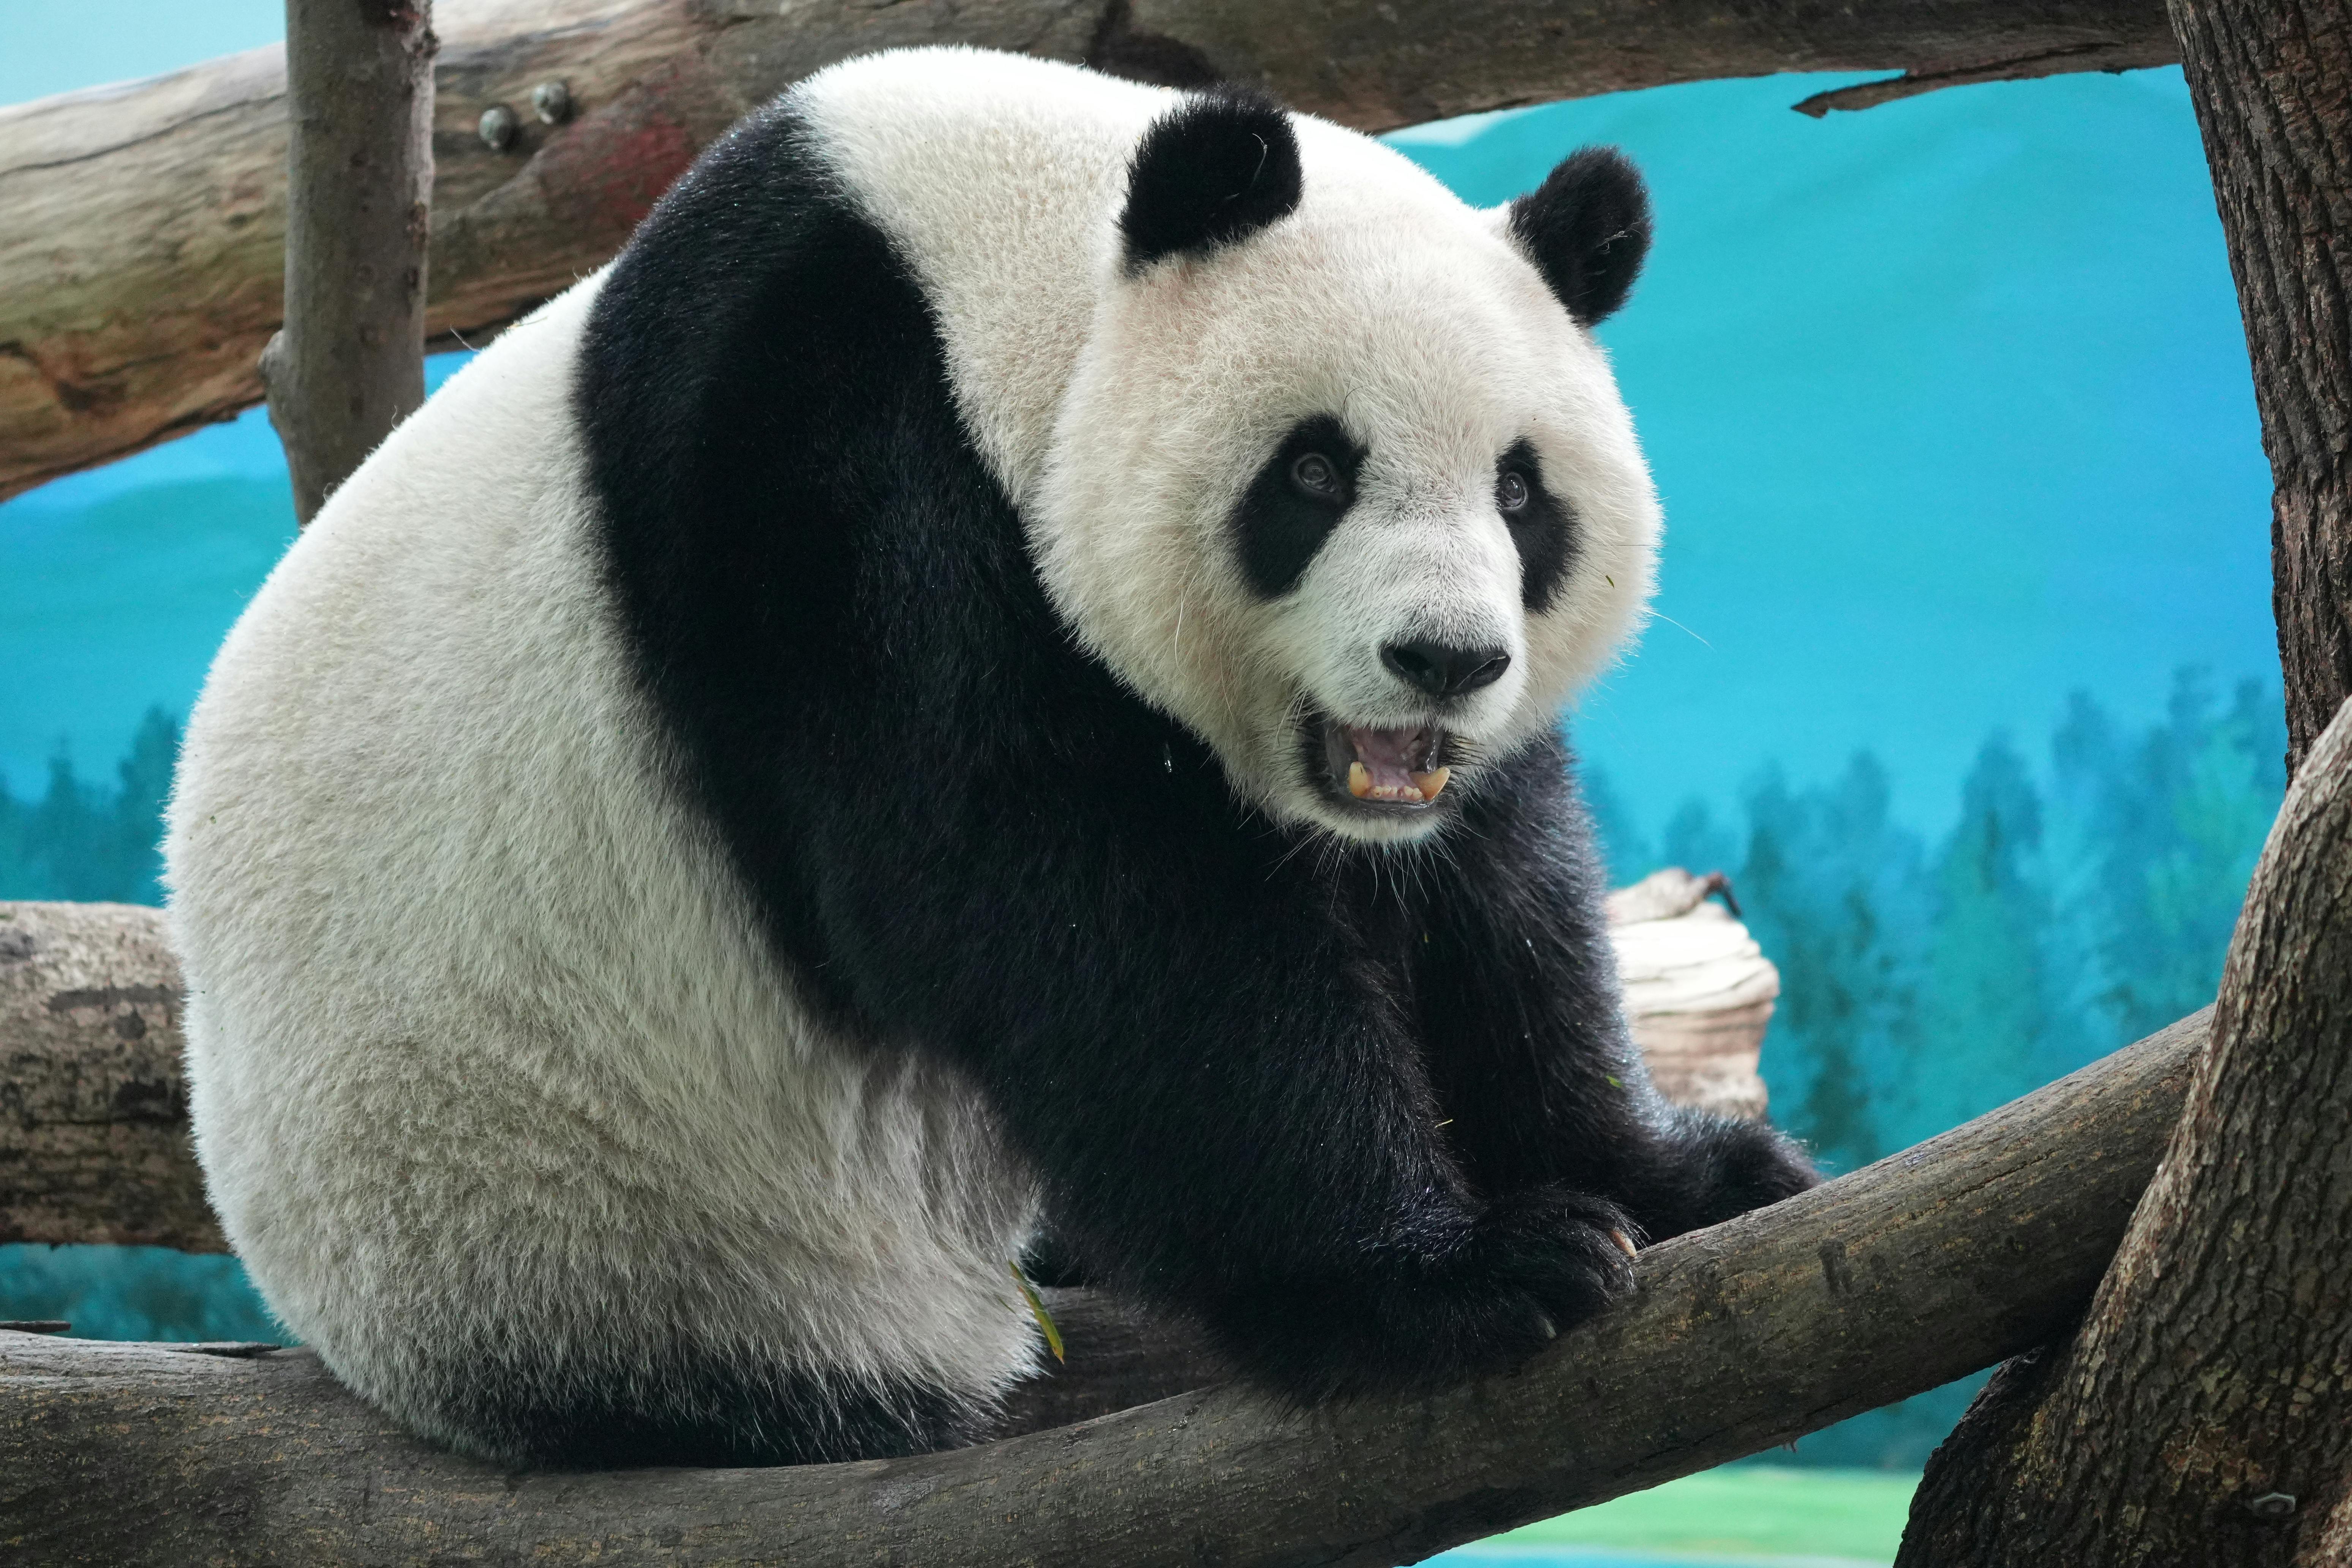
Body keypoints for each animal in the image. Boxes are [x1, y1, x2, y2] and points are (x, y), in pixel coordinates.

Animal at [166, 46, 1817, 1471]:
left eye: (1523, 495)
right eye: (1313, 470)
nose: (1446, 659)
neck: (992, 268)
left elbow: (1494, 896)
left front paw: (1672, 1175)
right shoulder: (829, 471)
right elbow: (1057, 898)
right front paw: (1450, 1276)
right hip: (588, 1233)